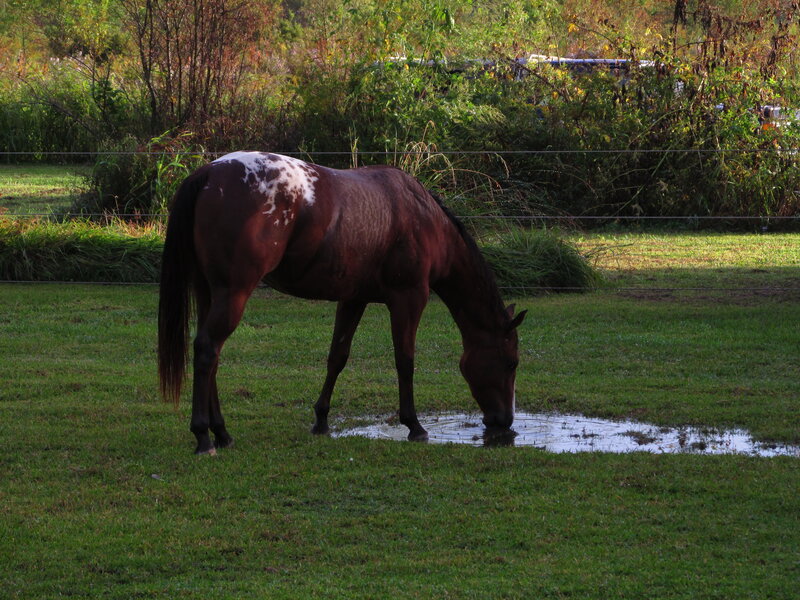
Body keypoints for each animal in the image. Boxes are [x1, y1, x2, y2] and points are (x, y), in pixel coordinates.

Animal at [158, 151, 526, 454]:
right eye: (511, 363)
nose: (504, 421)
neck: (422, 217)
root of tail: (209, 173)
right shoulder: (409, 299)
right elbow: (404, 361)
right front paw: (414, 425)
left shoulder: (353, 299)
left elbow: (337, 357)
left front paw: (321, 420)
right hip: (234, 292)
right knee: (207, 350)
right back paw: (203, 437)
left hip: (210, 293)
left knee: (211, 354)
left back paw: (222, 433)